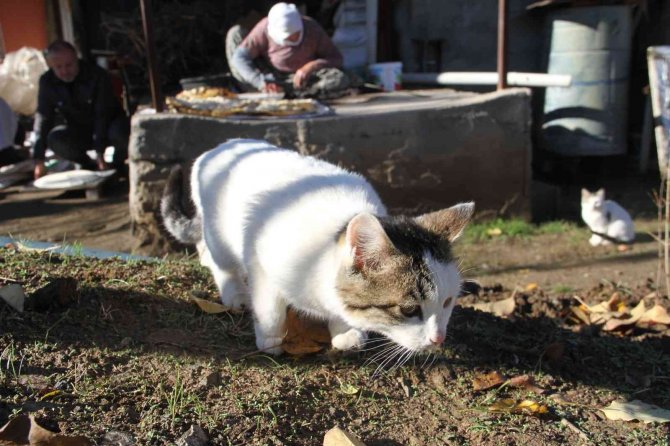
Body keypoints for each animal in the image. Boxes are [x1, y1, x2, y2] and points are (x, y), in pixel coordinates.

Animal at [163, 139, 478, 356]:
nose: (438, 339)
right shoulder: (261, 261)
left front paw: (346, 332)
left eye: (448, 302)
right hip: (220, 231)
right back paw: (234, 292)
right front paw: (270, 338)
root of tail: (219, 147)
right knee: (216, 256)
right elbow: (270, 307)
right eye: (409, 310)